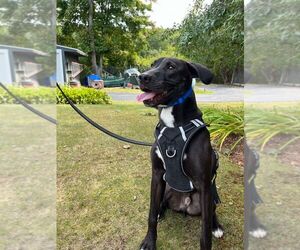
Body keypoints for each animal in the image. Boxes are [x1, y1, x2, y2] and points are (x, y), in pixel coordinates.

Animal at [137, 57, 224, 249]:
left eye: (171, 67)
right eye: (153, 65)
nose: (142, 77)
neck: (173, 126)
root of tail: (186, 204)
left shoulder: (204, 183)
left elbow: (205, 232)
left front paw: (210, 231)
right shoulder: (157, 174)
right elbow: (151, 213)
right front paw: (149, 241)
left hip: (211, 196)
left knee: (211, 213)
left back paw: (216, 226)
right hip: (167, 189)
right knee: (160, 203)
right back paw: (161, 211)